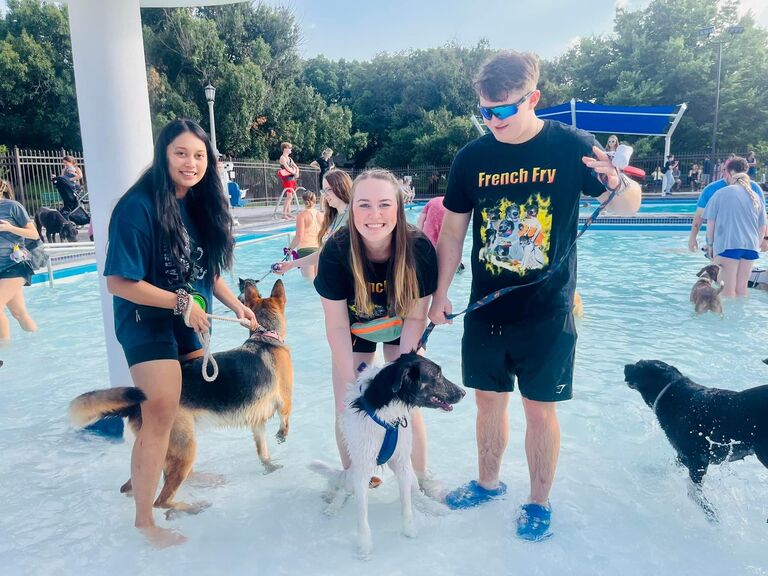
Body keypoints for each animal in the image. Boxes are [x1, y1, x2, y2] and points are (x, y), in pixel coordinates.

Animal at [308, 356, 464, 560]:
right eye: (437, 375)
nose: (464, 392)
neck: (387, 411)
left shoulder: (402, 462)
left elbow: (407, 506)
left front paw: (409, 530)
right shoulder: (362, 469)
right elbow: (362, 516)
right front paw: (364, 546)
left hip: (407, 470)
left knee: (415, 492)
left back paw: (434, 507)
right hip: (353, 473)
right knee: (344, 489)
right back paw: (334, 506)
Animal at [624, 358, 768, 520]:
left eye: (639, 365)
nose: (625, 366)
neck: (672, 393)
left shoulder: (697, 460)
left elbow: (695, 493)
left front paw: (709, 513)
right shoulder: (683, 456)